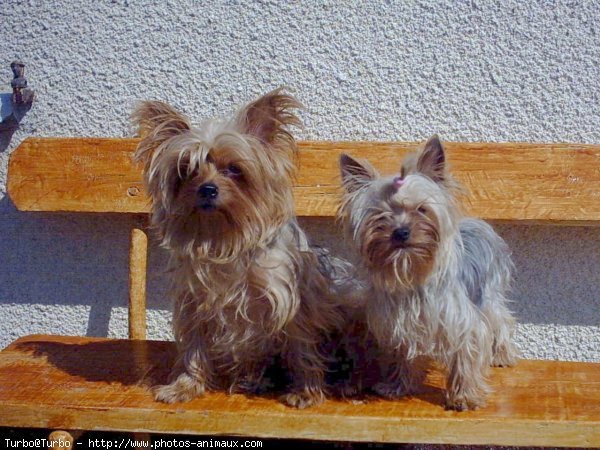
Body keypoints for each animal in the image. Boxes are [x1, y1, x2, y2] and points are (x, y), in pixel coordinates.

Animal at [133, 88, 344, 408]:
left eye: (234, 169)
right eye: (187, 170)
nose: (207, 189)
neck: (223, 239)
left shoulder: (291, 302)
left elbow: (301, 345)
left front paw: (305, 391)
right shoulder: (194, 304)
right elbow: (193, 347)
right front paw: (184, 386)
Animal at [340, 135, 516, 410]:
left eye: (422, 209)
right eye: (380, 215)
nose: (401, 232)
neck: (411, 271)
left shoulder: (463, 321)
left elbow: (466, 353)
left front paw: (464, 396)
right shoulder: (399, 324)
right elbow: (403, 356)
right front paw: (397, 386)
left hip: (490, 292)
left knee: (502, 318)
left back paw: (502, 354)